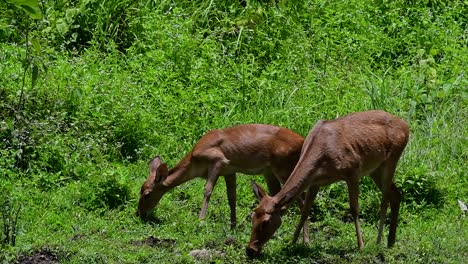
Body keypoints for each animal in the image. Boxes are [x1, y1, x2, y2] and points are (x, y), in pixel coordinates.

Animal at [135, 123, 306, 231]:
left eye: (147, 194)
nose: (139, 214)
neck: (194, 162)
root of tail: (303, 141)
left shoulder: (218, 161)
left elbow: (207, 190)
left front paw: (200, 221)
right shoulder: (229, 171)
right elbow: (232, 197)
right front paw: (233, 227)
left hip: (284, 168)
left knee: (301, 197)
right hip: (270, 172)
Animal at [245, 109, 410, 256]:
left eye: (266, 222)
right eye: (252, 217)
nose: (250, 250)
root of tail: (406, 126)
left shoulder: (353, 171)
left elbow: (354, 209)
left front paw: (361, 246)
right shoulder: (315, 182)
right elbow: (305, 210)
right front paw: (292, 243)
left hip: (392, 158)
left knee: (385, 200)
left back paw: (378, 241)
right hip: (375, 169)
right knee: (396, 195)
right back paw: (390, 242)